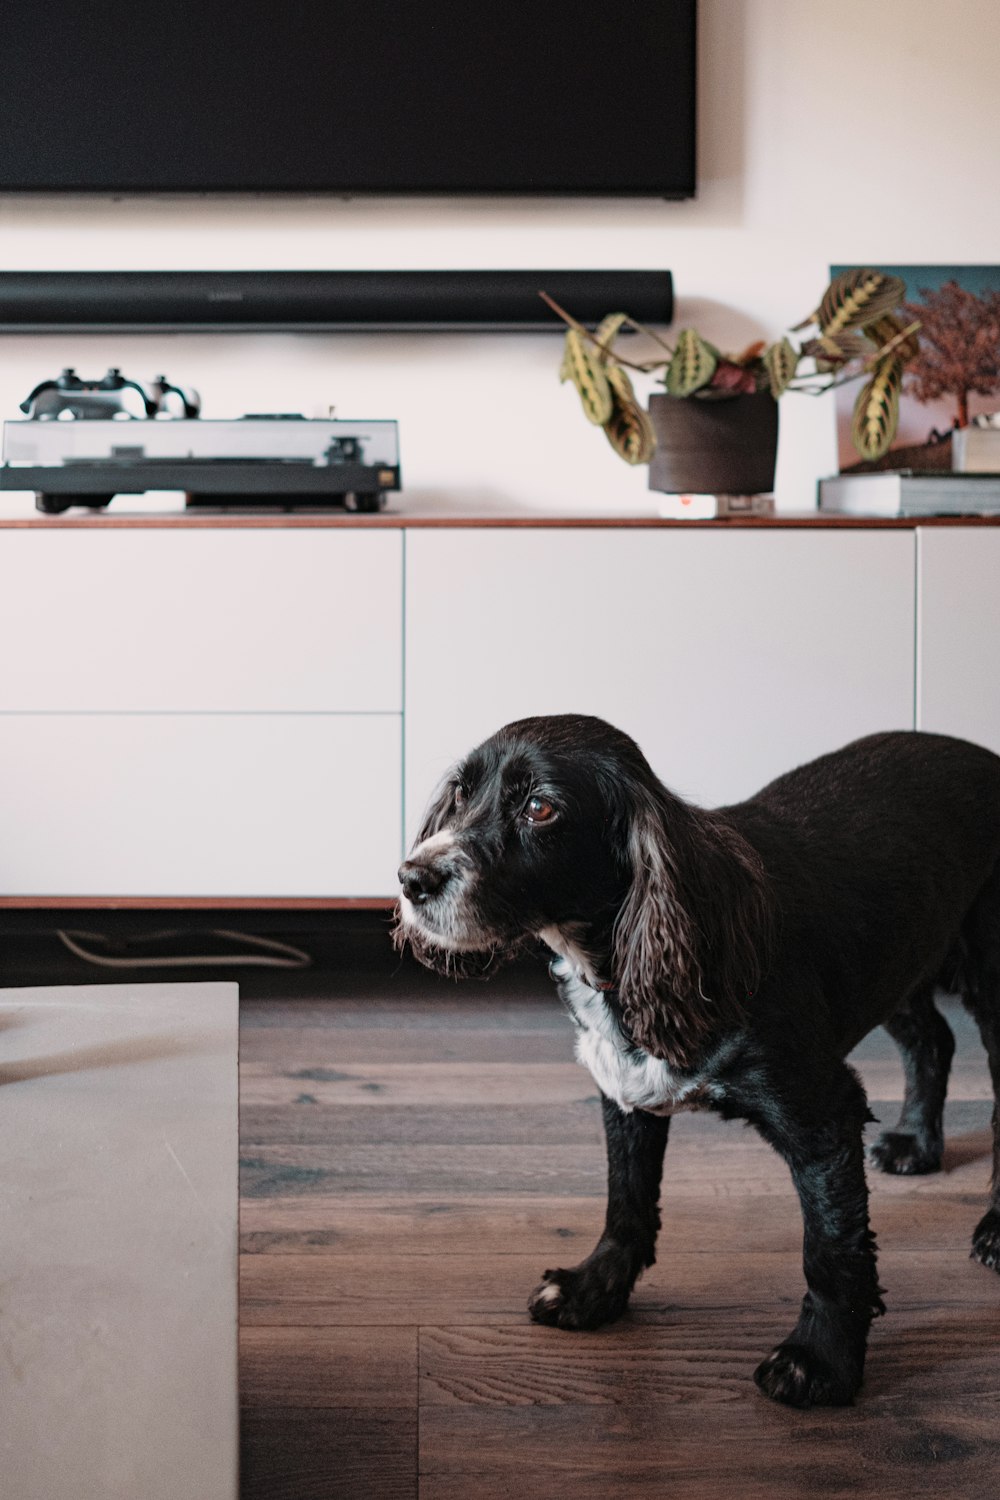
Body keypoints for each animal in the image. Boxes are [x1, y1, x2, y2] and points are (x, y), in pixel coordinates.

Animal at [395, 714, 1000, 1404]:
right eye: (462, 792)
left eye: (540, 808)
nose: (412, 878)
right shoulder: (624, 1091)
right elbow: (626, 1200)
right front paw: (592, 1291)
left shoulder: (820, 1114)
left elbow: (831, 1247)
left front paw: (819, 1361)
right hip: (896, 958)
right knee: (932, 1039)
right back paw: (918, 1146)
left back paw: (994, 1230)